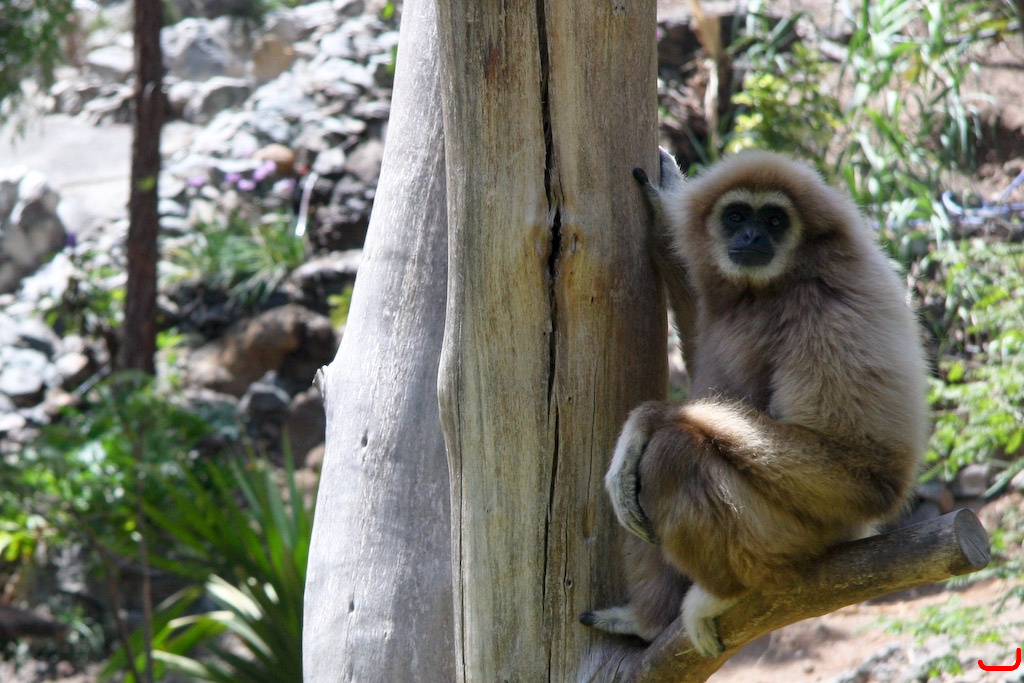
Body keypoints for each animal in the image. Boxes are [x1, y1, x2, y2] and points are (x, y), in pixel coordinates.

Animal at [580, 150, 929, 658]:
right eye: (736, 216)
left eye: (775, 220)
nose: (752, 236)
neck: (777, 284)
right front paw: (665, 209)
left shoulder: (831, 308)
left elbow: (866, 469)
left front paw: (646, 419)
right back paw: (647, 622)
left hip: (793, 537)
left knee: (672, 454)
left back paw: (726, 593)